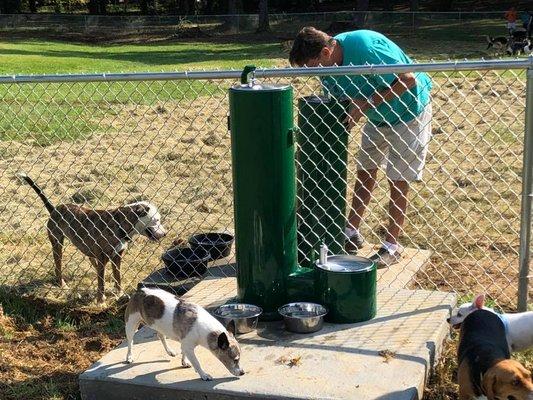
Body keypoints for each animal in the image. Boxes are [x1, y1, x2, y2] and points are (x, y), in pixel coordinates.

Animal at [17, 173, 166, 304]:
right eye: (156, 220)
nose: (165, 234)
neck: (119, 224)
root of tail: (54, 209)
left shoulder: (117, 256)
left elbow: (117, 277)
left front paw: (119, 293)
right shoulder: (102, 257)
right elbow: (101, 284)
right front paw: (101, 301)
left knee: (90, 258)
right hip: (57, 243)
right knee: (58, 265)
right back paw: (62, 283)